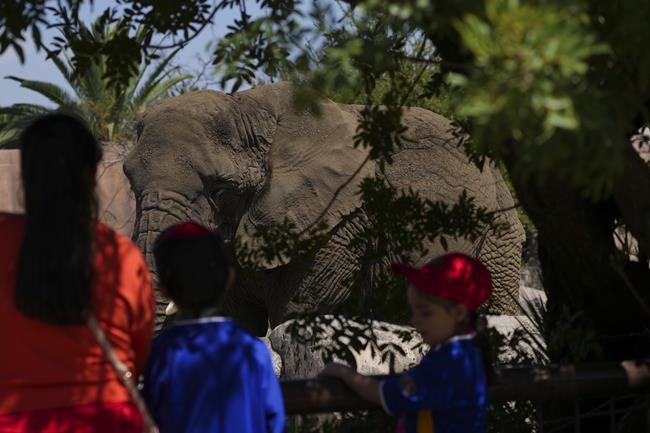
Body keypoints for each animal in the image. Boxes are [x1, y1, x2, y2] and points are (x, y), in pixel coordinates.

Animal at [124, 82, 525, 335]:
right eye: (130, 182)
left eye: (219, 191)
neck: (250, 107)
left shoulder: (341, 219)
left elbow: (298, 309)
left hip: (499, 235)